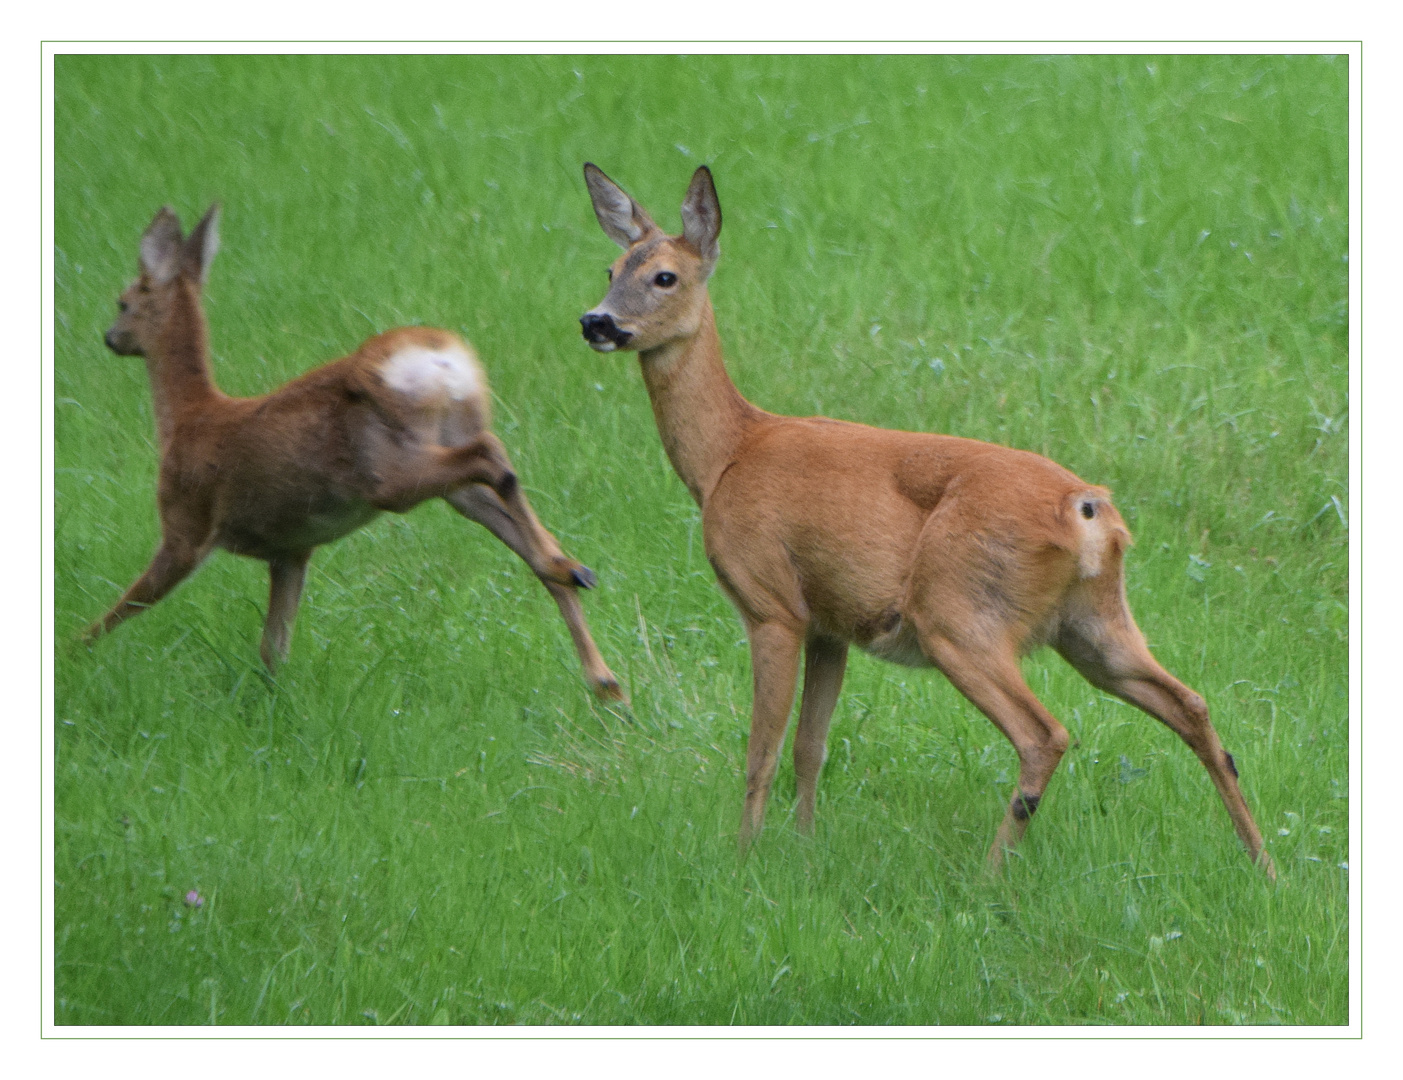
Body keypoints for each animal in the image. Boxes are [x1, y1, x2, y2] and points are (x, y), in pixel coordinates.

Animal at [82, 204, 620, 698]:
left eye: (122, 302)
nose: (110, 338)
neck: (188, 418)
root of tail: (441, 358)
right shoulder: (292, 549)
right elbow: (273, 647)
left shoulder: (186, 523)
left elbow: (127, 605)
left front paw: (74, 655)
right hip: (447, 467)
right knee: (509, 504)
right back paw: (598, 654)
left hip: (386, 471)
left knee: (490, 454)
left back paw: (570, 581)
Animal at [578, 166, 1273, 875]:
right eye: (610, 267)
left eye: (665, 276)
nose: (596, 321)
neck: (727, 454)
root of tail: (1088, 511)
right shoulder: (831, 624)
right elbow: (810, 748)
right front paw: (805, 849)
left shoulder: (772, 601)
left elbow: (761, 751)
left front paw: (744, 858)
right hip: (1093, 622)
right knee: (1191, 705)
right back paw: (1263, 865)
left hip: (959, 612)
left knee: (1045, 734)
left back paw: (989, 877)